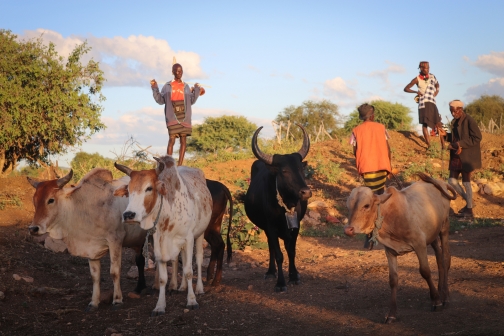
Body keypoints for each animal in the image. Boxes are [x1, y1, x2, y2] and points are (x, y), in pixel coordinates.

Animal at [27, 169, 148, 312]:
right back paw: (140, 287)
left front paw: (117, 300)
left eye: (51, 200)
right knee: (140, 261)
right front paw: (93, 302)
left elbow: (115, 271)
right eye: (34, 200)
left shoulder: (115, 241)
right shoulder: (91, 247)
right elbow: (94, 276)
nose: (33, 228)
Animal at [114, 156, 213, 316]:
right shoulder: (158, 243)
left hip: (199, 234)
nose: (128, 215)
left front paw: (191, 301)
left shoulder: (189, 239)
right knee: (179, 259)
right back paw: (180, 287)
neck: (168, 213)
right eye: (128, 189)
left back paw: (199, 288)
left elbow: (189, 271)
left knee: (198, 260)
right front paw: (160, 306)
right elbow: (162, 277)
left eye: (149, 188)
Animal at [244, 123, 312, 292]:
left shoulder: (296, 226)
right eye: (285, 171)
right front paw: (281, 283)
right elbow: (279, 254)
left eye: (301, 169)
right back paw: (270, 272)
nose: (306, 192)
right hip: (266, 228)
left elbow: (291, 251)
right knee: (271, 249)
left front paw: (294, 276)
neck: (286, 207)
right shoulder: (271, 227)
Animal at [344, 173, 454, 322]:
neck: (389, 216)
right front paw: (391, 314)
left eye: (366, 205)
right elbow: (393, 280)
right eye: (348, 207)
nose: (348, 230)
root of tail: (441, 183)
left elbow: (425, 271)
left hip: (444, 227)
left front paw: (436, 301)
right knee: (439, 258)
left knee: (446, 258)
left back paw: (445, 297)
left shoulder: (419, 244)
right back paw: (440, 290)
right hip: (432, 235)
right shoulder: (390, 251)